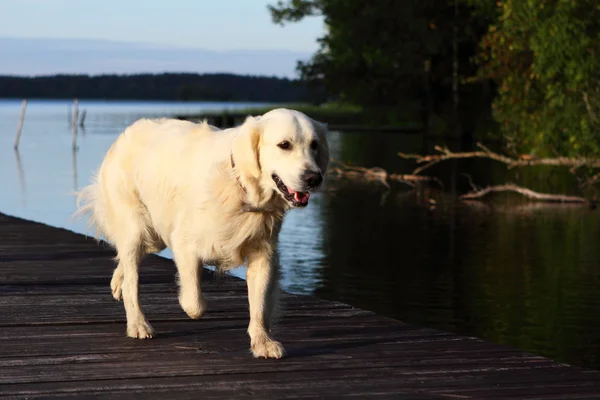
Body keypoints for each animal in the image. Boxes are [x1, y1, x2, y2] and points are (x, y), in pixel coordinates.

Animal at [75, 108, 330, 360]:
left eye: (314, 145)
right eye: (284, 145)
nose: (314, 178)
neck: (241, 187)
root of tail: (129, 131)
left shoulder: (263, 253)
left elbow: (259, 305)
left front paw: (263, 343)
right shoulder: (185, 244)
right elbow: (195, 305)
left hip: (155, 233)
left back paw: (117, 282)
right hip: (136, 227)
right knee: (132, 280)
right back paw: (138, 324)